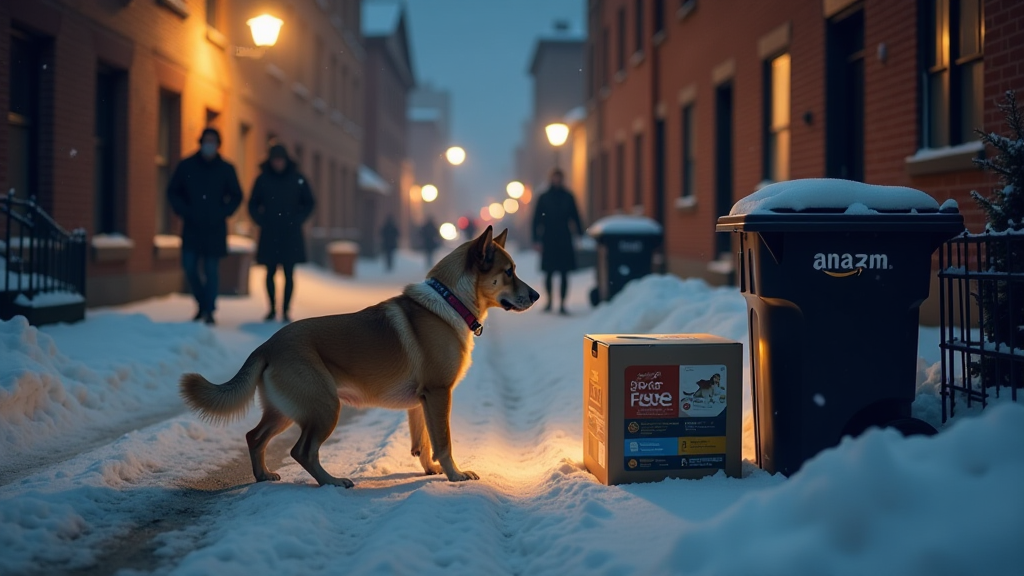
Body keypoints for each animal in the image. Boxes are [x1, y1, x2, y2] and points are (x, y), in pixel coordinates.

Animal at [180, 225, 540, 483]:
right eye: (509, 271)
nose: (536, 295)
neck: (451, 300)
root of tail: (268, 345)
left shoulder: (421, 401)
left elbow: (423, 442)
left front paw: (431, 469)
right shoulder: (439, 393)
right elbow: (443, 441)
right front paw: (455, 475)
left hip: (285, 409)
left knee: (255, 437)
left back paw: (263, 476)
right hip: (325, 406)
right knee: (302, 451)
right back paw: (331, 482)